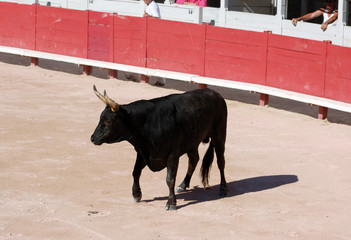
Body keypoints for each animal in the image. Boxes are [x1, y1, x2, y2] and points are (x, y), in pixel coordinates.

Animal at [91, 86, 228, 210]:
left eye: (108, 122)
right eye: (100, 118)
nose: (93, 138)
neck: (146, 124)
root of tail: (216, 94)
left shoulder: (172, 155)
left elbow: (170, 179)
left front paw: (171, 203)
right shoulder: (143, 153)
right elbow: (135, 172)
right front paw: (136, 194)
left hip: (219, 136)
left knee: (220, 162)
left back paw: (223, 189)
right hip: (193, 142)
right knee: (194, 160)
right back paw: (183, 185)